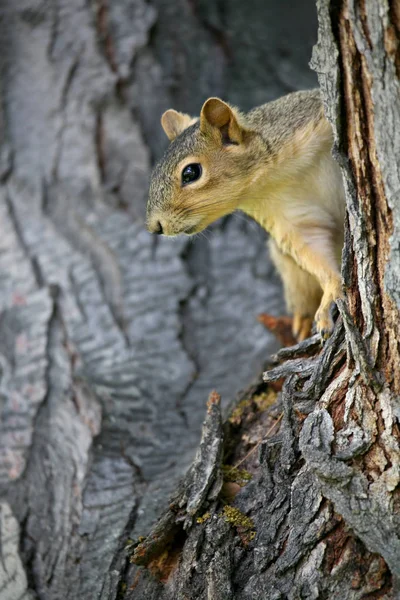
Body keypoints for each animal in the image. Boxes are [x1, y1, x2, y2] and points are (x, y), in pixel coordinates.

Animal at [145, 91, 346, 340]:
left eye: (191, 173)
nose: (155, 226)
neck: (275, 175)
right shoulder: (288, 216)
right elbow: (314, 250)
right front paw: (331, 294)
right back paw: (303, 319)